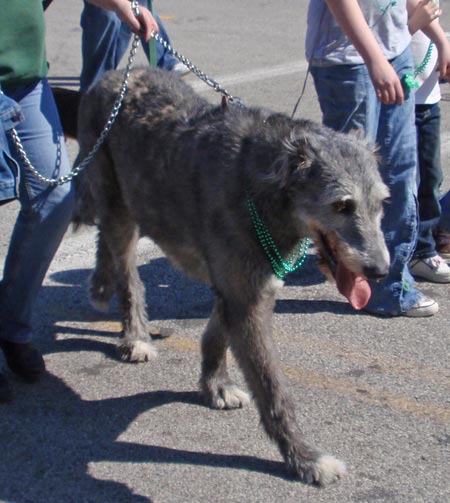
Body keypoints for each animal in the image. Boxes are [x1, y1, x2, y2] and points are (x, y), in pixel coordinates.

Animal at [74, 68, 390, 488]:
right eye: (341, 205)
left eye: (382, 204)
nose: (381, 270)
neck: (264, 187)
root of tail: (114, 75)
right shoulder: (246, 297)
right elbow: (273, 389)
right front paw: (305, 458)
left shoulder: (246, 287)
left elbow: (216, 334)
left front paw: (215, 384)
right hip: (118, 205)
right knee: (127, 272)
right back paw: (134, 333)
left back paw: (99, 283)